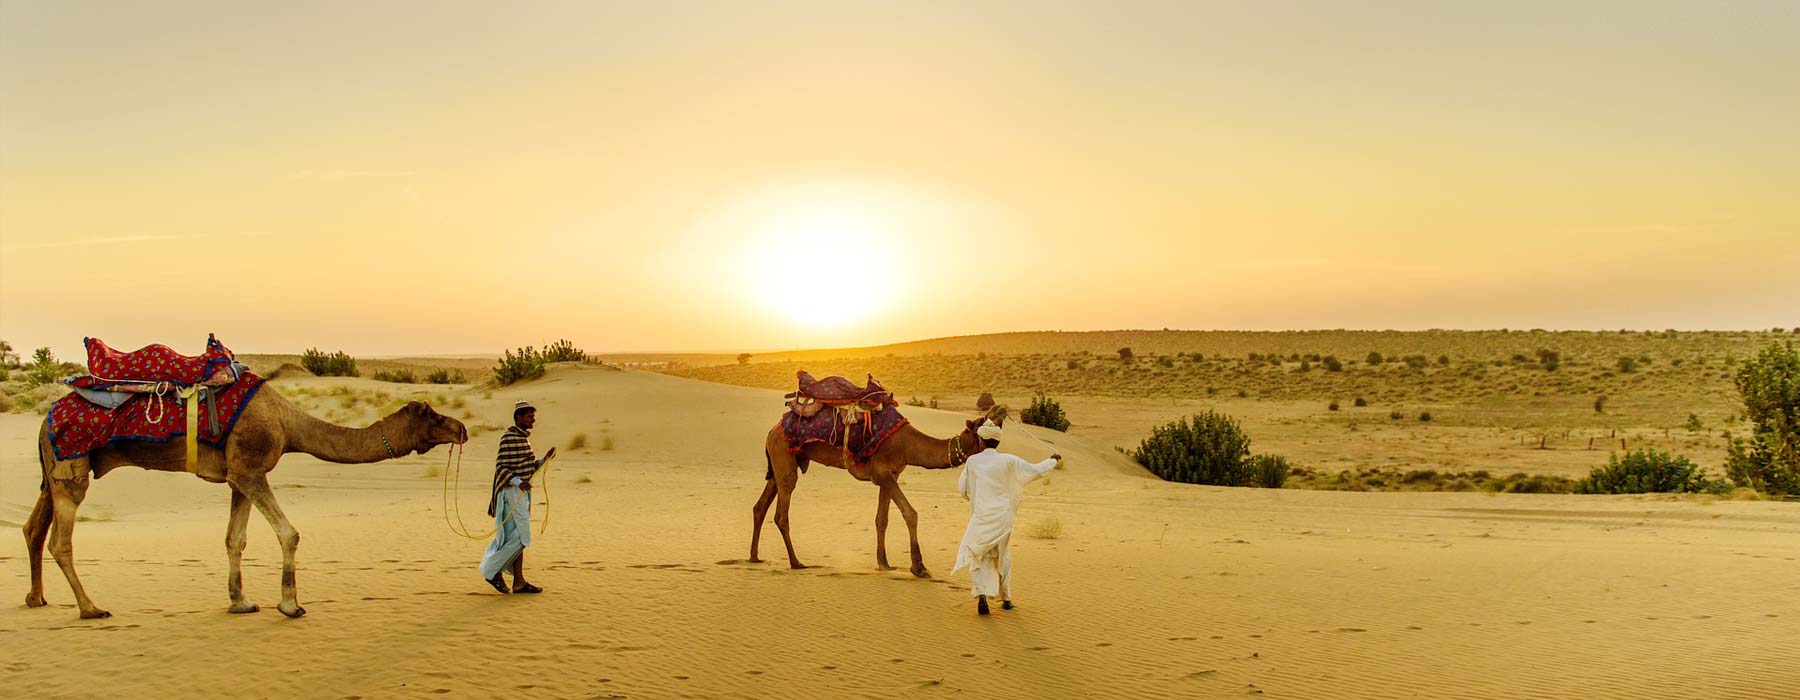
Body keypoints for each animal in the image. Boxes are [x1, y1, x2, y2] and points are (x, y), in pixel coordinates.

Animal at [23, 390, 468, 619]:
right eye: (433, 417)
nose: (462, 429)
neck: (288, 424)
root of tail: (45, 419)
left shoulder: (238, 477)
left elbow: (234, 539)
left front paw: (240, 602)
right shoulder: (252, 470)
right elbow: (290, 533)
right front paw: (290, 604)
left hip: (55, 473)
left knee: (34, 529)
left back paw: (35, 599)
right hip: (71, 471)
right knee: (60, 540)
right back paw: (90, 608)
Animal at [752, 412, 994, 578]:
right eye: (981, 431)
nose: (994, 447)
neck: (909, 445)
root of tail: (771, 432)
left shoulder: (890, 475)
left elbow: (882, 519)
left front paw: (884, 563)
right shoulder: (883, 472)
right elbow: (910, 513)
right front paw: (919, 567)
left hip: (780, 463)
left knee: (760, 507)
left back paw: (754, 557)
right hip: (784, 458)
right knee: (781, 514)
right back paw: (796, 562)